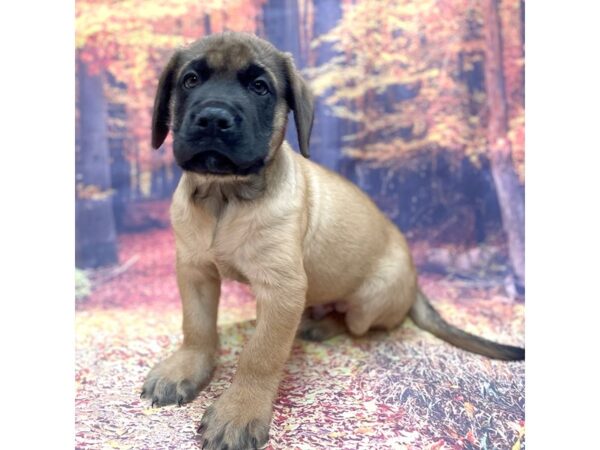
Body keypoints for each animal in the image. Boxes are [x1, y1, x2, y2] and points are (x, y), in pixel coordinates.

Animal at [142, 32, 524, 450]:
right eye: (190, 80)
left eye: (260, 87)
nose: (213, 118)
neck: (223, 198)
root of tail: (414, 283)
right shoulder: (195, 271)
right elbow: (196, 326)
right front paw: (185, 368)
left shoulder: (282, 289)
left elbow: (260, 354)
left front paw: (240, 409)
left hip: (367, 302)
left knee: (354, 321)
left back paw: (321, 325)